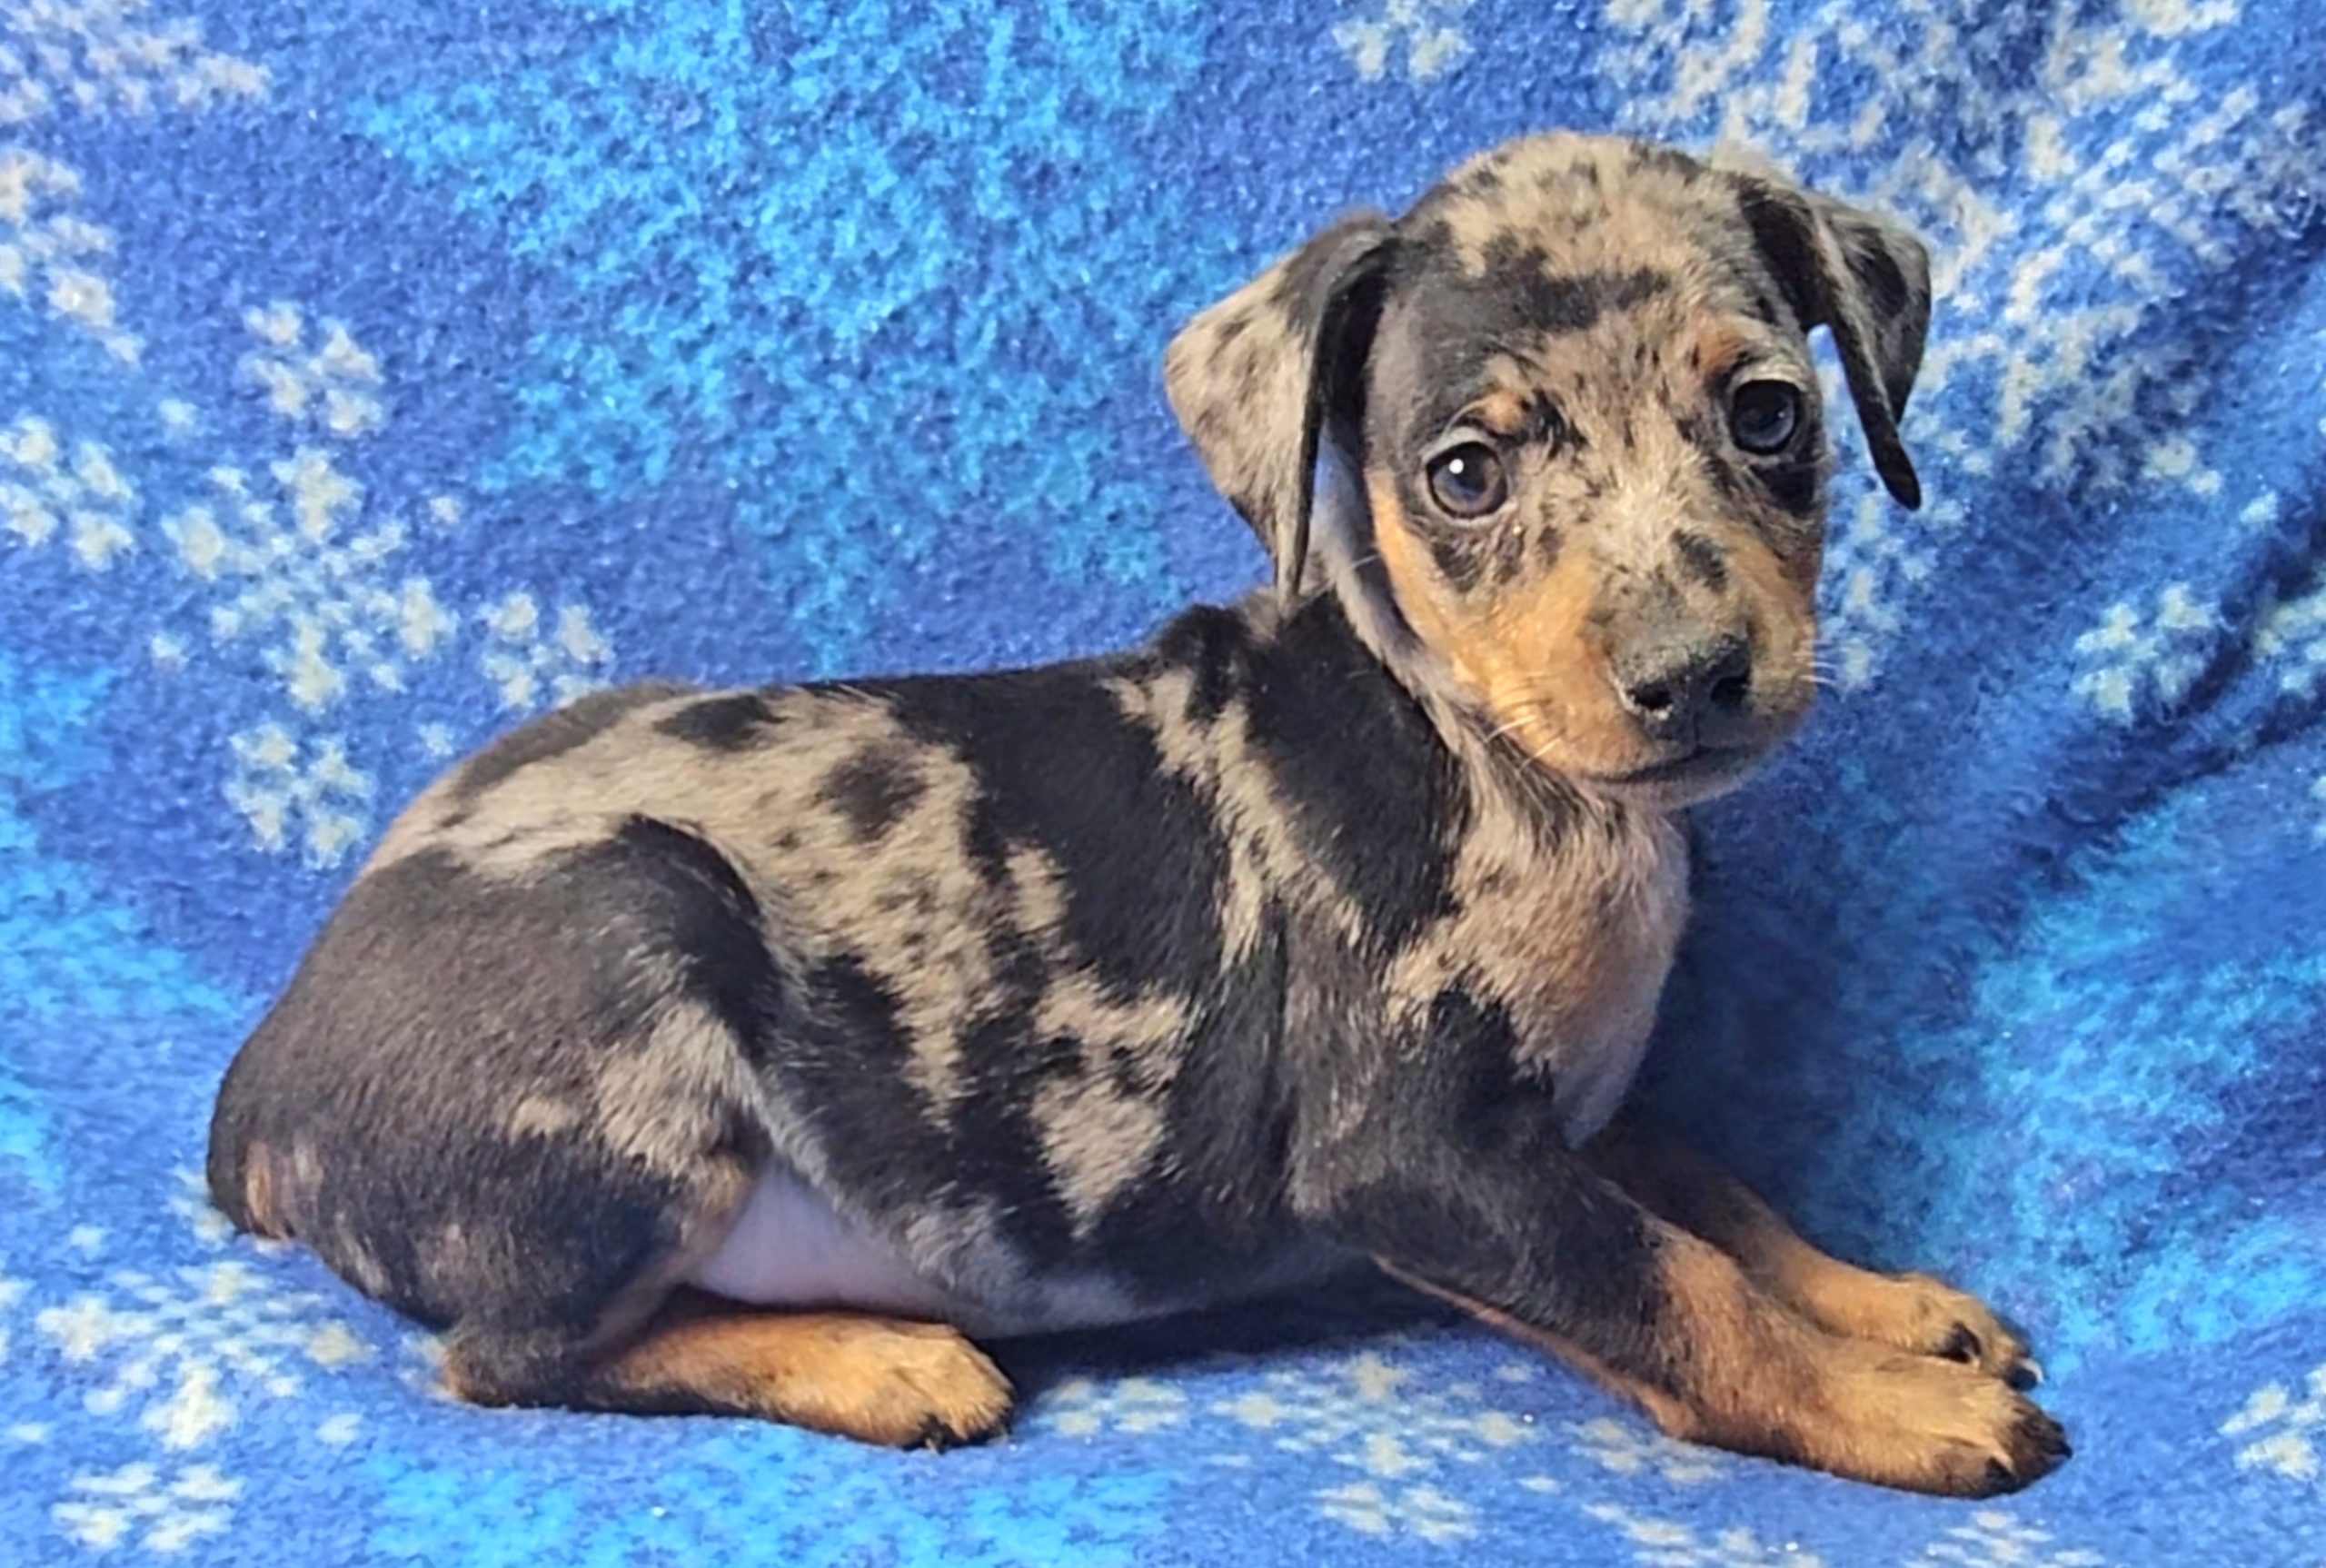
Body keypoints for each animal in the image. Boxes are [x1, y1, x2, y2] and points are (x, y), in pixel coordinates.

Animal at [206, 131, 2069, 1496]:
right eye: (1466, 472)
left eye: (1769, 414)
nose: (1693, 676)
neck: (1495, 759)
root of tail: (261, 1087)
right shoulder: (1417, 1148)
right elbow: (1674, 1283)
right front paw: (1894, 1403)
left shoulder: (1572, 1116)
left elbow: (1714, 1191)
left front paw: (1893, 1310)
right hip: (634, 948)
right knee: (506, 1357)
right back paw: (877, 1357)